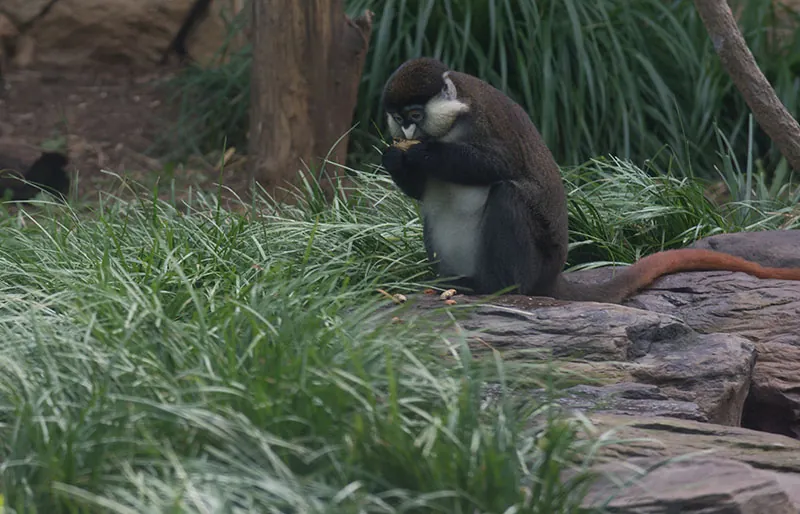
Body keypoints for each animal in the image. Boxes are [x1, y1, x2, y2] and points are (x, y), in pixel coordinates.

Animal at [380, 57, 800, 304]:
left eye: (415, 113)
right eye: (398, 117)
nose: (408, 129)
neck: (449, 122)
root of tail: (551, 277)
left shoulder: (483, 119)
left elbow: (500, 166)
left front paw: (420, 153)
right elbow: (419, 192)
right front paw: (394, 157)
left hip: (534, 261)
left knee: (507, 195)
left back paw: (497, 287)